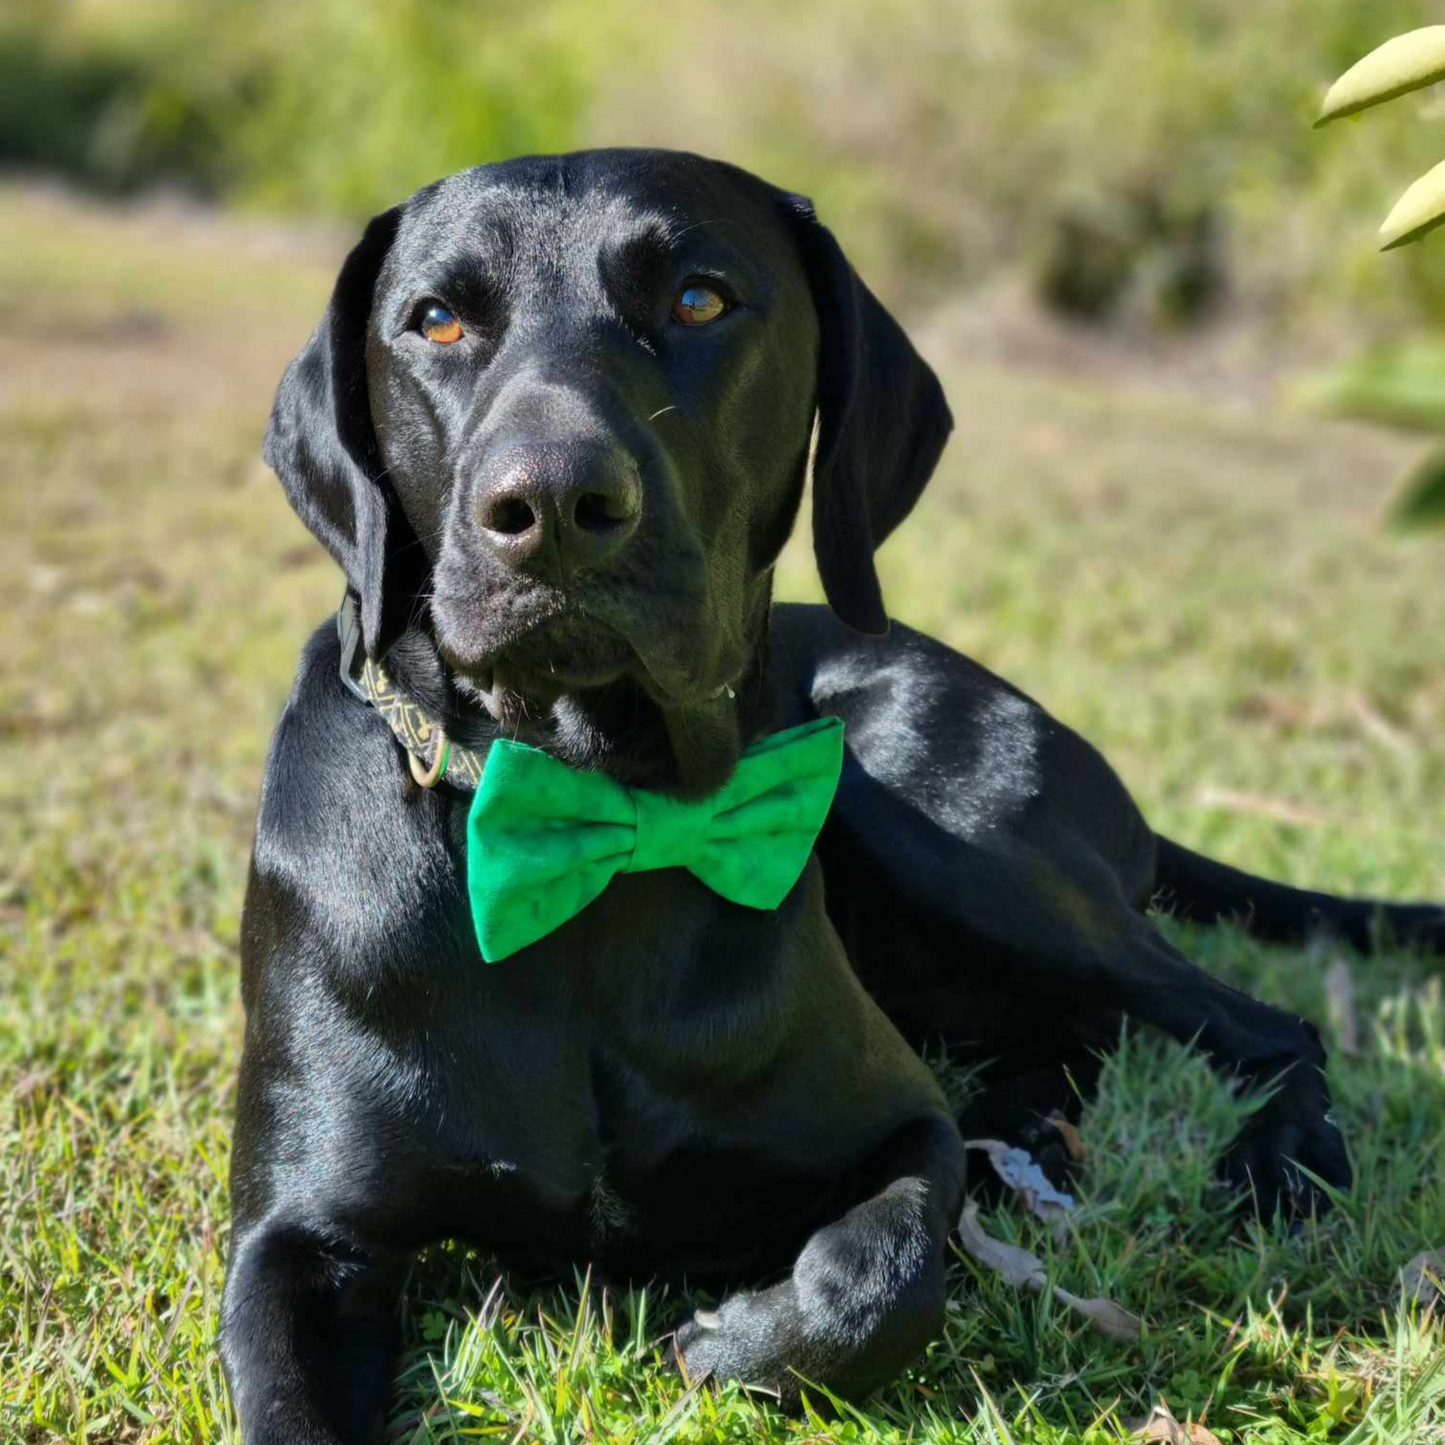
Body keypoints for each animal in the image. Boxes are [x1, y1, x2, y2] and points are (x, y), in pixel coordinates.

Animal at [219, 152, 1439, 1439]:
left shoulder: (892, 1121)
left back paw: (1271, 1162)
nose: (551, 506)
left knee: (1255, 1020)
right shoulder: (295, 1238)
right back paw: (1028, 1127)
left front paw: (736, 1337)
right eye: (436, 320)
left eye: (700, 299)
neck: (598, 816)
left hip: (935, 814)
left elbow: (880, 1269)